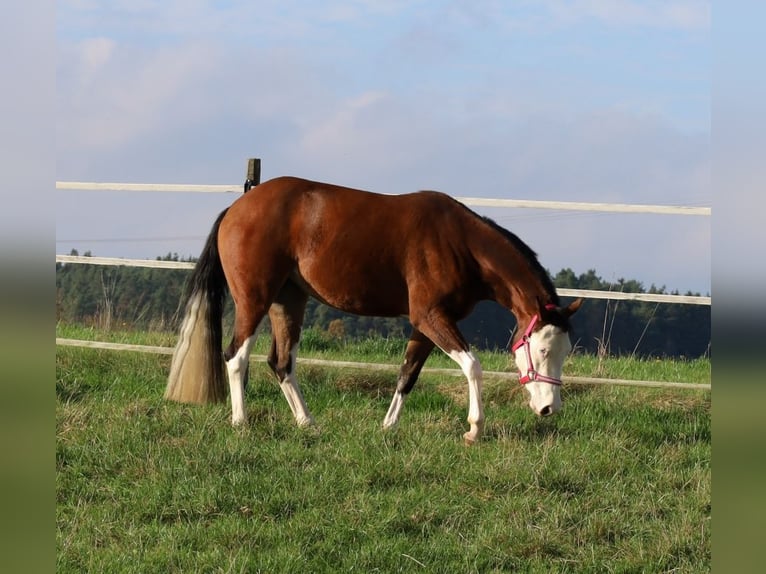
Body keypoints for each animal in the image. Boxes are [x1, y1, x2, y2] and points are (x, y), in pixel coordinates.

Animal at [166, 176, 584, 446]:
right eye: (542, 350)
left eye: (565, 351)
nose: (550, 408)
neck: (461, 244)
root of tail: (237, 207)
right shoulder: (431, 317)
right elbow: (472, 366)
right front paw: (474, 429)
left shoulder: (425, 325)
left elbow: (407, 375)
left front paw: (388, 427)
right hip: (254, 299)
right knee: (236, 356)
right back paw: (241, 422)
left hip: (289, 301)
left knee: (281, 362)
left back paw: (307, 423)